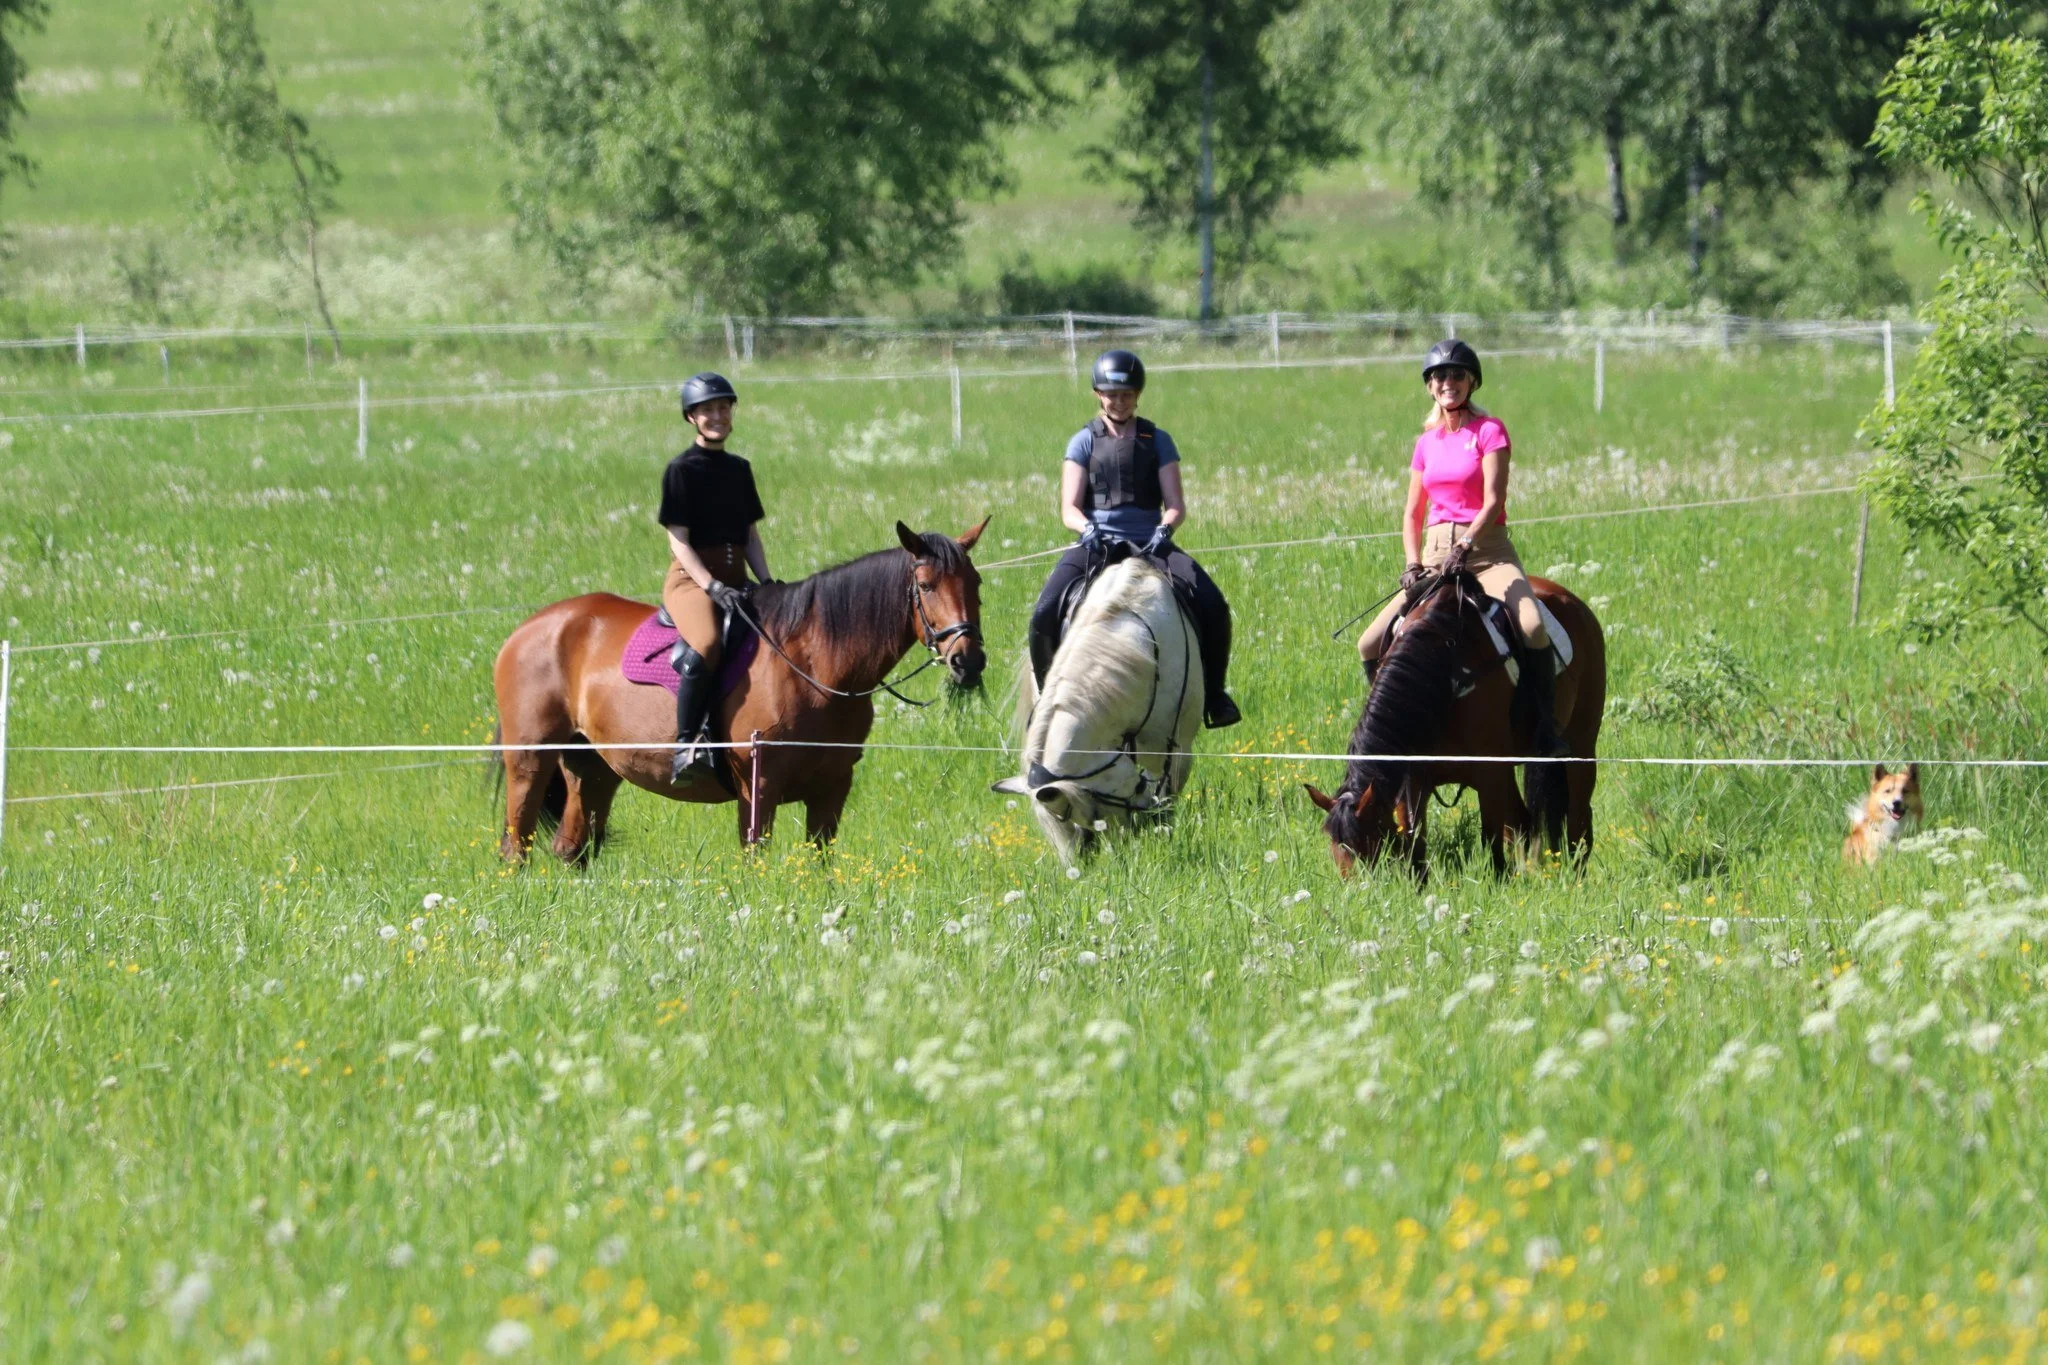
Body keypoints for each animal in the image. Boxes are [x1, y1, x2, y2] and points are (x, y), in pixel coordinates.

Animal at [492, 519, 988, 860]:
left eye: (976, 583)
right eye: (925, 585)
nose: (968, 660)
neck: (813, 667)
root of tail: (532, 627)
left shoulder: (833, 786)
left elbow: (820, 861)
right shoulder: (759, 786)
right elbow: (757, 859)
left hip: (593, 766)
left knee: (570, 846)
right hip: (530, 759)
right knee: (517, 844)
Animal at [1305, 568, 1606, 880]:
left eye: (1370, 842)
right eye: (1335, 848)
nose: (1360, 889)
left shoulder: (1490, 773)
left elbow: (1492, 843)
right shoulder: (1414, 782)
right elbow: (1416, 847)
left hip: (1581, 748)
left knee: (1577, 821)